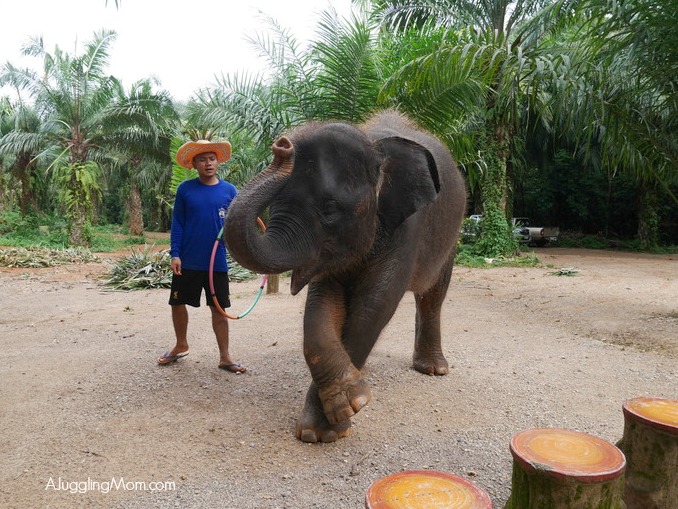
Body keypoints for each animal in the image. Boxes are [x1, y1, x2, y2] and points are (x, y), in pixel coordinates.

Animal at [226, 110, 470, 440]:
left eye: (330, 209)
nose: (282, 146)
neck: (374, 145)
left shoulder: (408, 226)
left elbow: (374, 304)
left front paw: (337, 419)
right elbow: (321, 305)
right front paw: (321, 427)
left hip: (453, 233)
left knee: (432, 296)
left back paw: (433, 369)